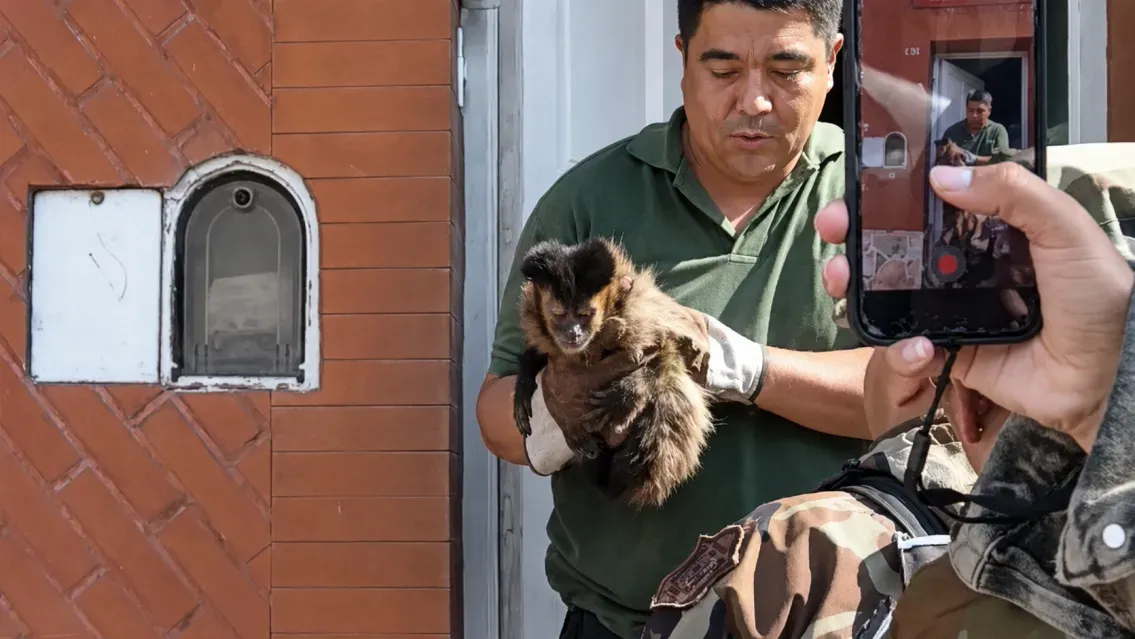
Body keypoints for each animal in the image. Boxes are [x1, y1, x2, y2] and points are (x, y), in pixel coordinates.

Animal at [511, 236, 716, 509]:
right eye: (559, 315)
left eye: (585, 315)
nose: (573, 333)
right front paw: (527, 385)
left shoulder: (639, 314)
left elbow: (665, 352)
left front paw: (628, 394)